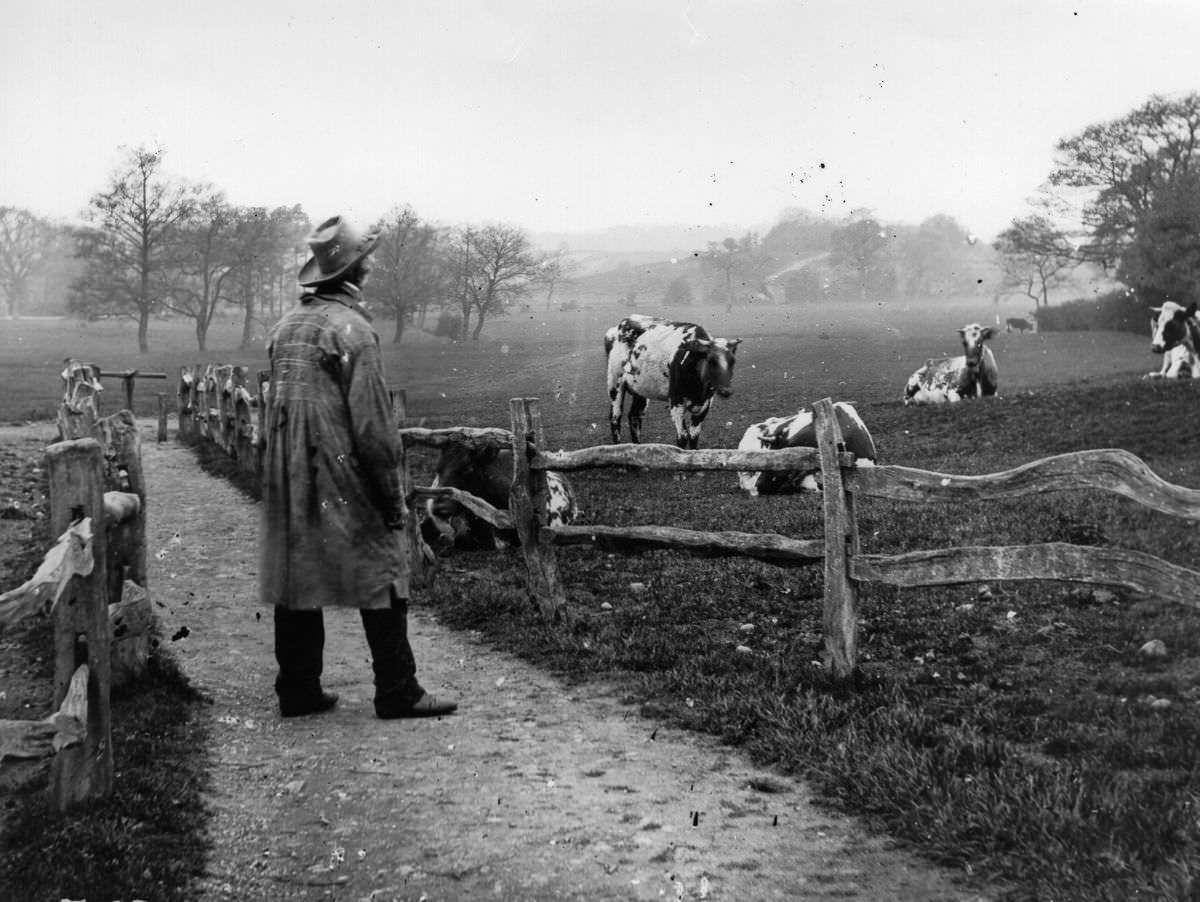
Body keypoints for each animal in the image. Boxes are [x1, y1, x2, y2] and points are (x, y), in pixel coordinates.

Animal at [600, 314, 739, 448]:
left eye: (732, 361)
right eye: (712, 361)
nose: (727, 391)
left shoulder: (705, 405)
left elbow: (693, 436)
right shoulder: (676, 404)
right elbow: (682, 436)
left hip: (641, 391)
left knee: (634, 416)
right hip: (615, 384)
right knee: (615, 418)